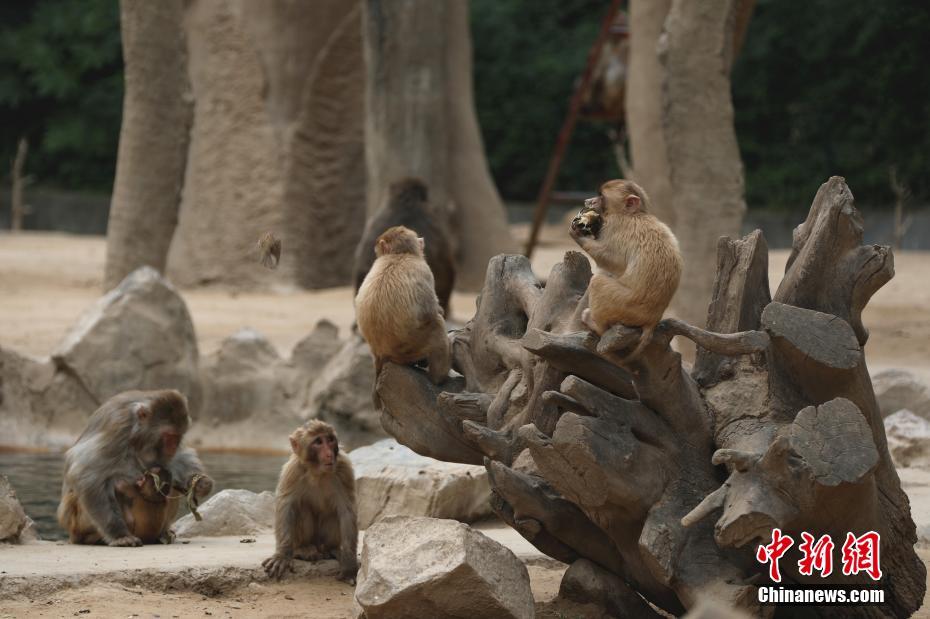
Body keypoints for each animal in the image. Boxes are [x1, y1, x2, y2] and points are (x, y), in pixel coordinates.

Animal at [57, 392, 213, 548]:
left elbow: (178, 457)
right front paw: (119, 535)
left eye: (178, 436)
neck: (140, 436)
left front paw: (200, 483)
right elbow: (87, 474)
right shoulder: (119, 427)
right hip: (76, 521)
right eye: (169, 436)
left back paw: (162, 534)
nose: (173, 446)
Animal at [264, 422, 362, 588]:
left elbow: (347, 510)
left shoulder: (344, 468)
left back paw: (332, 550)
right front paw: (282, 555)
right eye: (318, 442)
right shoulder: (293, 470)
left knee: (333, 515)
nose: (329, 454)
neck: (317, 471)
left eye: (330, 440)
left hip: (324, 539)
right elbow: (286, 505)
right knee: (301, 508)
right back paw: (302, 550)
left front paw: (349, 565)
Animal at [352, 225, 450, 404]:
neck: (398, 254)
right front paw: (439, 310)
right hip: (412, 347)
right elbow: (430, 311)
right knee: (437, 325)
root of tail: (380, 353)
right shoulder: (424, 270)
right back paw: (439, 378)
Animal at [564, 179, 680, 360]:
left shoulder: (613, 225)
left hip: (624, 305)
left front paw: (578, 232)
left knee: (598, 282)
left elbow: (611, 261)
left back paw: (595, 324)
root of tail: (652, 319)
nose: (588, 201)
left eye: (601, 197)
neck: (633, 214)